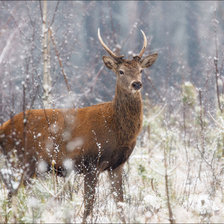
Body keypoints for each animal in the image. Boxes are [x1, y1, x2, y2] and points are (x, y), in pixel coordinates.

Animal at [0, 28, 158, 222]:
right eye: (121, 71)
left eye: (141, 70)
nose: (136, 83)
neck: (117, 130)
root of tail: (3, 128)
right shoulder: (91, 163)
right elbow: (88, 206)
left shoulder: (117, 165)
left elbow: (120, 203)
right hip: (22, 161)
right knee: (11, 194)